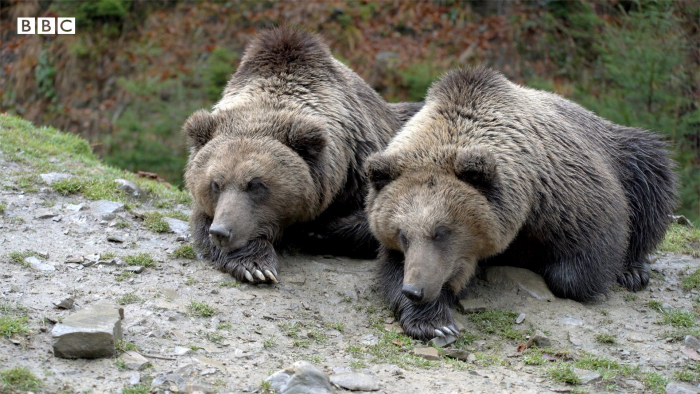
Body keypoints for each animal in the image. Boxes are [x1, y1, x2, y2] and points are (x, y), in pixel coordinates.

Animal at [182, 27, 422, 284]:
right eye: (215, 184)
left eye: (256, 184)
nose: (221, 232)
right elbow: (203, 222)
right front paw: (254, 264)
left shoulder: (359, 168)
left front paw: (313, 232)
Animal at [366, 67, 680, 338]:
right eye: (402, 235)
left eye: (442, 232)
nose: (414, 290)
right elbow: (393, 269)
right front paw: (433, 322)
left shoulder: (563, 193)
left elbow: (583, 258)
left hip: (623, 153)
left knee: (649, 173)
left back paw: (633, 270)